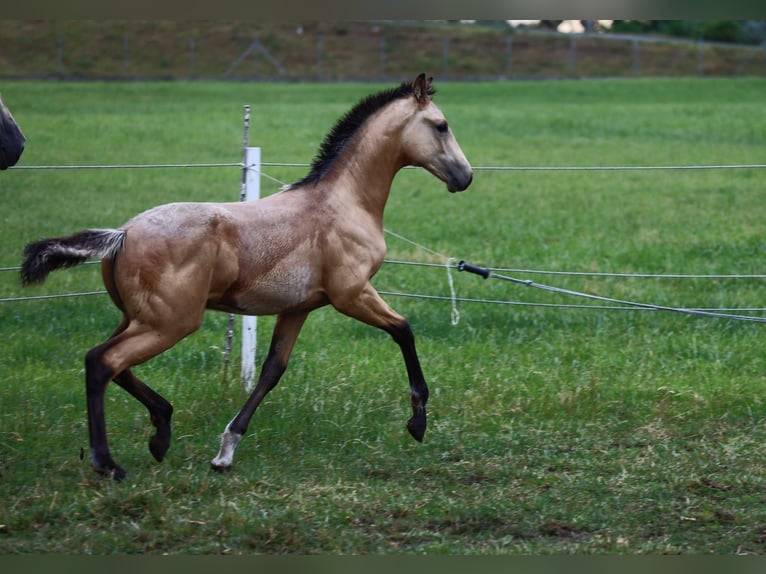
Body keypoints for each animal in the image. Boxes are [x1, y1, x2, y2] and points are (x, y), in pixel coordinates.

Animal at [20, 73, 473, 481]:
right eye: (442, 125)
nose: (465, 177)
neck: (344, 203)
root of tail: (122, 234)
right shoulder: (352, 294)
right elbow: (404, 330)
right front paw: (418, 423)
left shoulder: (299, 307)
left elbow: (272, 370)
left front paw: (225, 451)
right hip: (171, 322)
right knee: (104, 362)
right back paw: (109, 463)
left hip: (139, 318)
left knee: (107, 361)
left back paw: (160, 431)